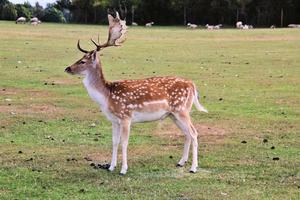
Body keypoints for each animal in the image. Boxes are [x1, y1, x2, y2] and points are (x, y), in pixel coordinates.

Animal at [64, 7, 207, 175]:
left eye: (82, 61)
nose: (67, 68)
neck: (107, 97)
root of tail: (192, 84)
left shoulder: (126, 117)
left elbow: (124, 143)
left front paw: (123, 169)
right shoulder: (114, 120)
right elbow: (114, 142)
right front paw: (111, 166)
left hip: (182, 109)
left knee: (194, 133)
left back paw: (193, 168)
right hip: (173, 114)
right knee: (186, 134)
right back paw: (181, 162)